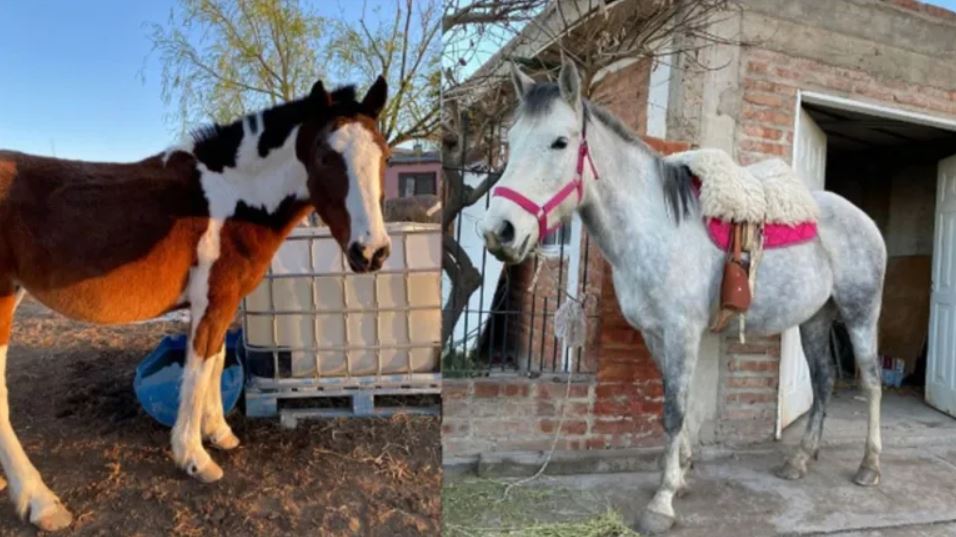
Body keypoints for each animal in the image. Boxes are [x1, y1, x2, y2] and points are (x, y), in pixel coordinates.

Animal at [0, 77, 392, 528]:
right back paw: (40, 501)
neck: (234, 199)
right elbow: (198, 367)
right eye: (327, 156)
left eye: (385, 155)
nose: (372, 253)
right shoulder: (213, 300)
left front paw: (217, 433)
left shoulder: (221, 304)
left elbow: (216, 361)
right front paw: (194, 457)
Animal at [478, 58, 888, 532]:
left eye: (560, 142)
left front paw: (662, 502)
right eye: (510, 141)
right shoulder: (656, 334)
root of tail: (863, 219)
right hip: (816, 319)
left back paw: (869, 466)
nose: (499, 230)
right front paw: (682, 474)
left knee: (872, 382)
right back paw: (801, 460)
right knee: (823, 381)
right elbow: (680, 405)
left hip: (860, 313)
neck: (656, 224)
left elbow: (673, 409)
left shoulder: (682, 331)